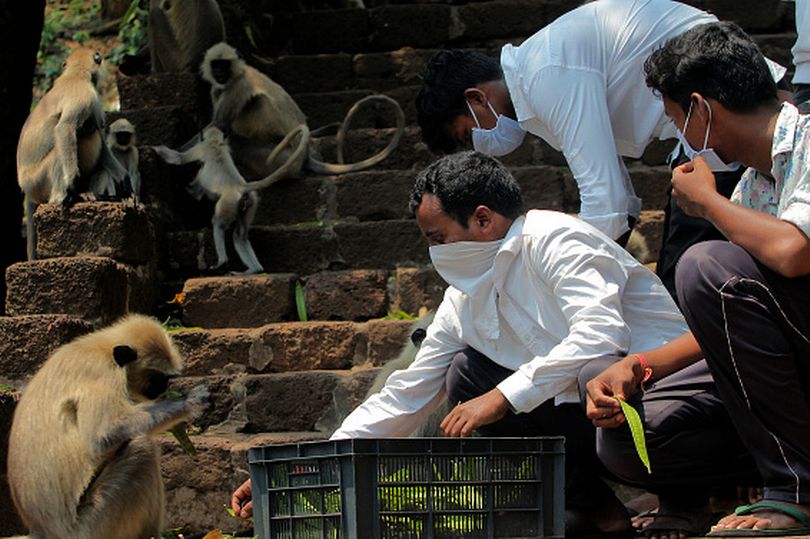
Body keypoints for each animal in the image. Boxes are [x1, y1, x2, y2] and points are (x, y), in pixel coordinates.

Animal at [7, 314, 208, 539]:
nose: (163, 389)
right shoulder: (102, 371)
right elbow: (103, 436)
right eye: (158, 378)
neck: (99, 346)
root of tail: (42, 531)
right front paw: (191, 402)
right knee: (142, 448)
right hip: (91, 524)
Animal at [16, 48, 131, 260]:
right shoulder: (83, 94)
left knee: (101, 166)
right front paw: (71, 183)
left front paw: (124, 180)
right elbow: (64, 129)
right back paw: (63, 197)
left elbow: (100, 139)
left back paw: (93, 195)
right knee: (59, 150)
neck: (75, 73)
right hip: (35, 181)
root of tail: (25, 189)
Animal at [154, 125, 307, 274]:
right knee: (239, 235)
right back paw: (254, 270)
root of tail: (240, 186)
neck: (216, 142)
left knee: (218, 223)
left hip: (228, 202)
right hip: (250, 204)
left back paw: (222, 261)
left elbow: (178, 159)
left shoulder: (201, 148)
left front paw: (155, 149)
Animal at [192, 42, 405, 182]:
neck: (237, 72)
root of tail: (304, 155)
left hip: (278, 155)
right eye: (216, 64)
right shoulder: (218, 87)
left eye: (224, 64)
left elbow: (217, 126)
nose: (219, 72)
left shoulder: (236, 85)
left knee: (255, 106)